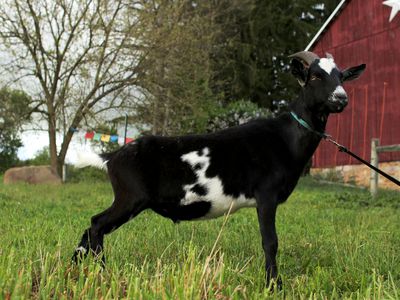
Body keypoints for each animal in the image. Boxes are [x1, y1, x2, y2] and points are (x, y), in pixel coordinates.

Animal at [72, 51, 366, 286]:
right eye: (315, 77)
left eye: (341, 76)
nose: (341, 98)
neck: (286, 136)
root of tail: (112, 156)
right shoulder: (266, 195)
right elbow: (270, 241)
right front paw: (274, 285)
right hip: (130, 198)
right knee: (96, 224)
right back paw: (101, 272)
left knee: (91, 228)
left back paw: (76, 268)